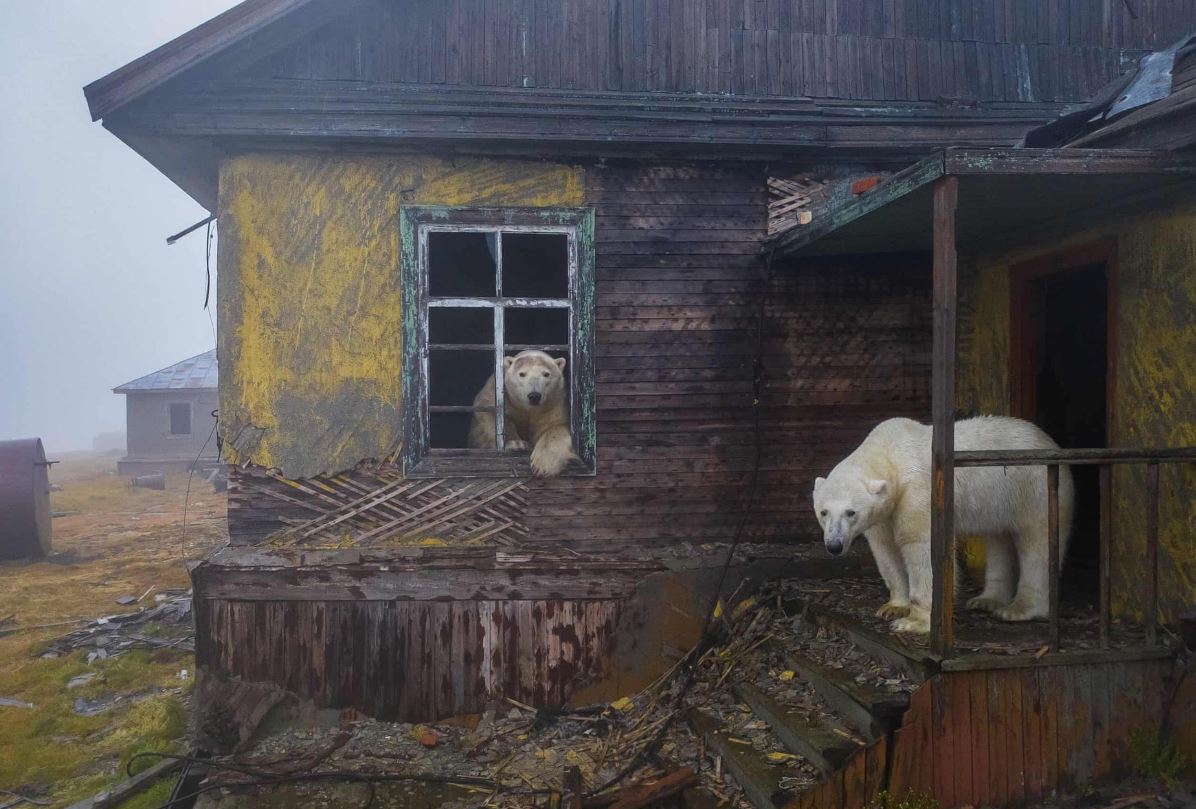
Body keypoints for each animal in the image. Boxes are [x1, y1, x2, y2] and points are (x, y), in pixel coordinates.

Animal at [813, 421, 1076, 636]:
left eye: (850, 512)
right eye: (823, 512)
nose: (834, 545)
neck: (889, 453)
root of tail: (1049, 441)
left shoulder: (918, 493)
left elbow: (922, 548)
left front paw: (914, 622)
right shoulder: (884, 514)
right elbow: (885, 550)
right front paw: (893, 607)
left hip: (1033, 488)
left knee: (1037, 542)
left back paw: (1019, 609)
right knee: (998, 539)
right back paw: (986, 600)